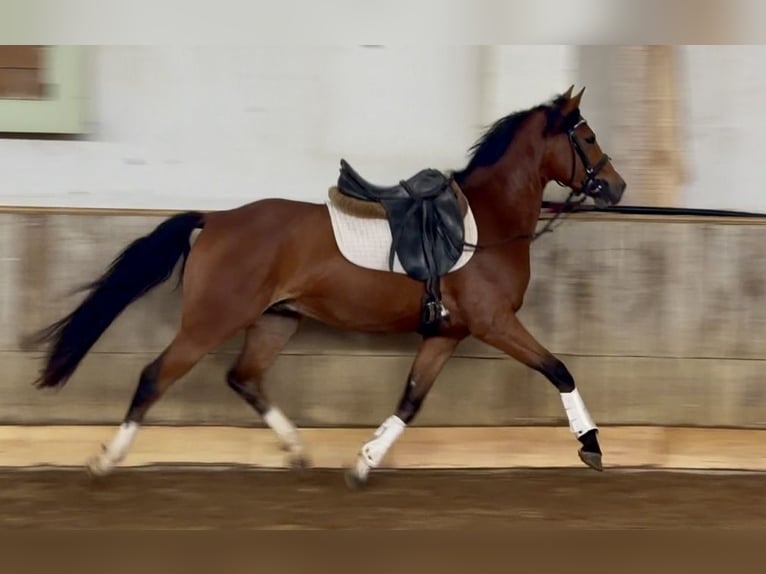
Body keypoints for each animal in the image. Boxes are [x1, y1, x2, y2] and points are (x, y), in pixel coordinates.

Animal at [27, 86, 626, 487]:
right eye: (588, 136)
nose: (617, 187)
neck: (490, 221)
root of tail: (215, 220)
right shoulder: (494, 322)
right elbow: (559, 369)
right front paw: (591, 446)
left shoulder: (447, 333)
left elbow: (411, 400)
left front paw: (363, 463)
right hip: (211, 321)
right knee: (156, 377)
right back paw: (105, 459)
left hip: (276, 320)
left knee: (243, 378)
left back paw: (297, 449)